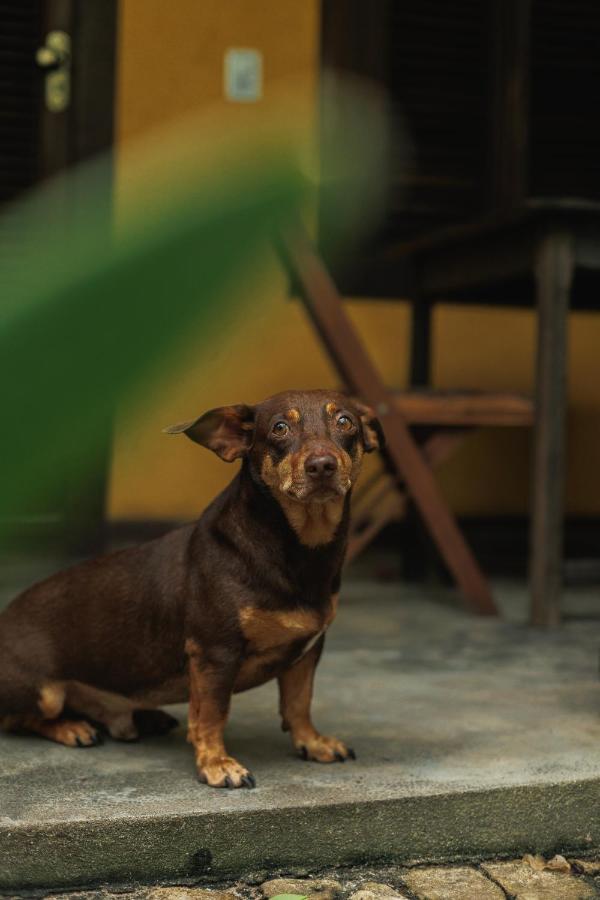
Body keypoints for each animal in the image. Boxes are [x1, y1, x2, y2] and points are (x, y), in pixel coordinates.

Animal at [0, 390, 382, 784]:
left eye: (345, 421)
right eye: (279, 428)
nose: (322, 465)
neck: (298, 548)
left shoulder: (307, 651)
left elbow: (298, 703)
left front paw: (313, 742)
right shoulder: (215, 652)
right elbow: (212, 714)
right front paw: (217, 764)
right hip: (44, 694)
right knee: (20, 719)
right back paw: (71, 727)